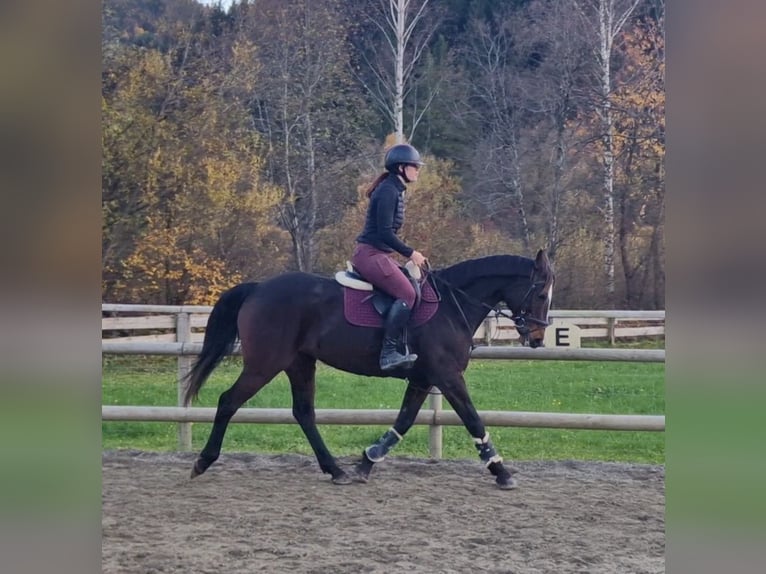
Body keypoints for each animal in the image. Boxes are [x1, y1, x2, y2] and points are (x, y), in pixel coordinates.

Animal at [184, 249, 555, 489]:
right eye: (540, 293)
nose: (537, 337)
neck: (452, 305)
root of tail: (259, 288)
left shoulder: (423, 379)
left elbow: (403, 421)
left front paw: (367, 461)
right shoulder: (448, 377)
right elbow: (474, 420)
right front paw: (501, 471)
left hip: (299, 363)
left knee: (303, 412)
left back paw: (335, 470)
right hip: (265, 364)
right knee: (228, 401)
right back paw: (202, 461)